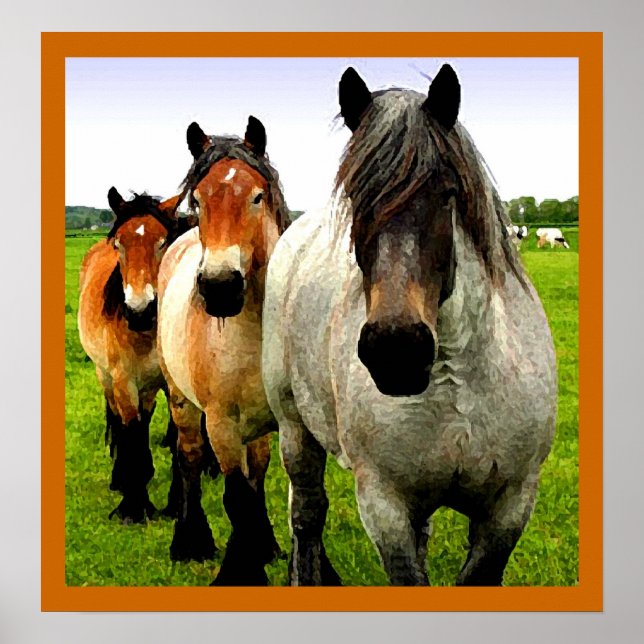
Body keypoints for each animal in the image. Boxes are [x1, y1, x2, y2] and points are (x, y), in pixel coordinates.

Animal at [78, 188, 186, 523]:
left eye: (163, 242)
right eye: (119, 244)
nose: (140, 311)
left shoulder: (171, 383)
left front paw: (175, 504)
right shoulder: (124, 381)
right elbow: (132, 431)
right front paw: (135, 507)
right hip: (106, 376)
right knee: (120, 421)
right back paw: (120, 478)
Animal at [156, 117, 289, 585]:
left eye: (257, 196)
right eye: (197, 200)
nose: (219, 287)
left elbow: (261, 483)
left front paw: (265, 548)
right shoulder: (221, 424)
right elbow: (236, 496)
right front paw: (241, 570)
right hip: (182, 403)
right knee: (191, 458)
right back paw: (188, 541)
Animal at [262, 64, 557, 586]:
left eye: (447, 194)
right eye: (356, 197)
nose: (395, 348)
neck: (458, 381)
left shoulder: (510, 506)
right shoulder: (385, 508)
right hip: (295, 432)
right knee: (307, 516)